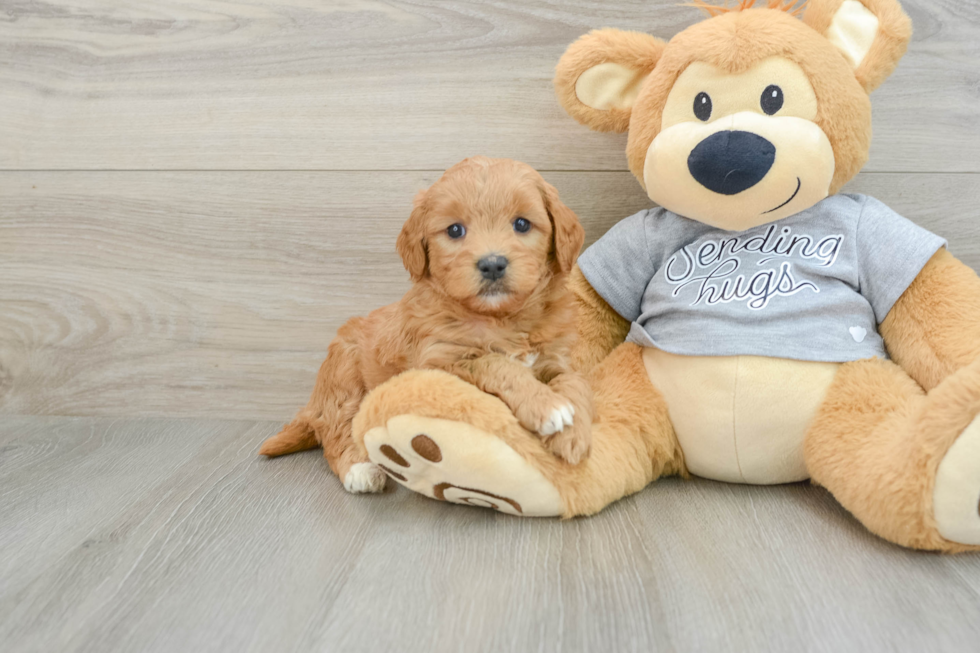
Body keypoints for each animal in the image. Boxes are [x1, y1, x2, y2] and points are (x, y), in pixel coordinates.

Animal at [260, 158, 592, 492]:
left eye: (522, 224)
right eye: (455, 230)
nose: (492, 264)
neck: (501, 318)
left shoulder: (556, 358)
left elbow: (574, 382)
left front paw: (573, 432)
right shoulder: (439, 362)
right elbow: (495, 363)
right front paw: (548, 407)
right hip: (344, 379)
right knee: (337, 430)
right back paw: (360, 470)